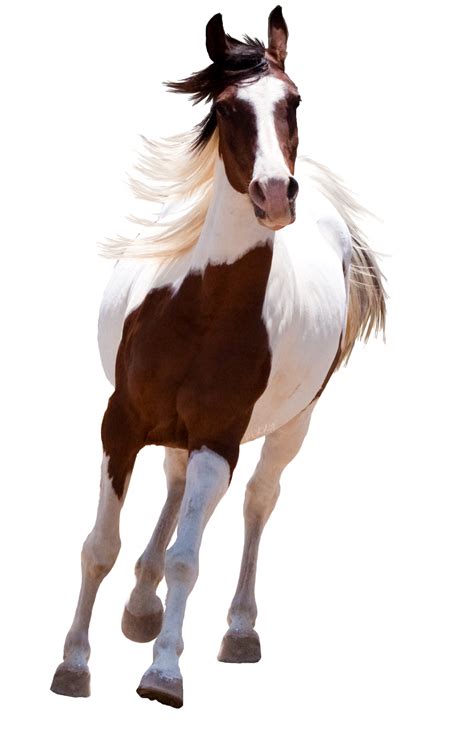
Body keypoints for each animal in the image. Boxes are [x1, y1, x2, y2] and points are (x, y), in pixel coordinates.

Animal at [51, 6, 386, 709]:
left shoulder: (218, 440)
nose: (275, 194)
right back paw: (140, 604)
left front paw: (164, 673)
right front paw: (73, 665)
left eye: (294, 100)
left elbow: (188, 558)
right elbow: (100, 546)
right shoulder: (119, 426)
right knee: (174, 488)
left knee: (258, 500)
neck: (201, 313)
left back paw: (237, 629)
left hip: (290, 427)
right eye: (230, 108)